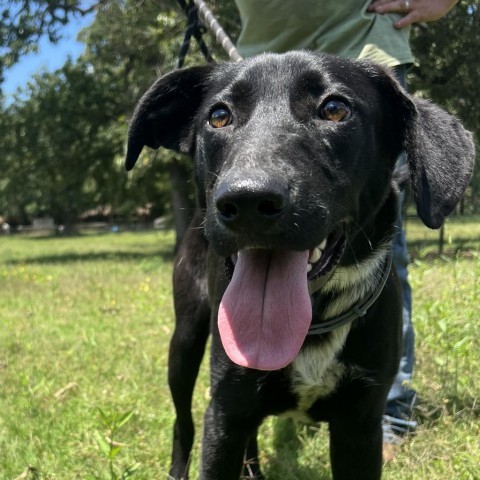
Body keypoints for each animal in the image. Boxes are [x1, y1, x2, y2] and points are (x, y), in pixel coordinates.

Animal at [125, 50, 474, 478]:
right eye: (218, 116)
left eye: (335, 109)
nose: (246, 200)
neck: (313, 322)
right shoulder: (224, 414)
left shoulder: (360, 426)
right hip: (185, 341)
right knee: (183, 422)